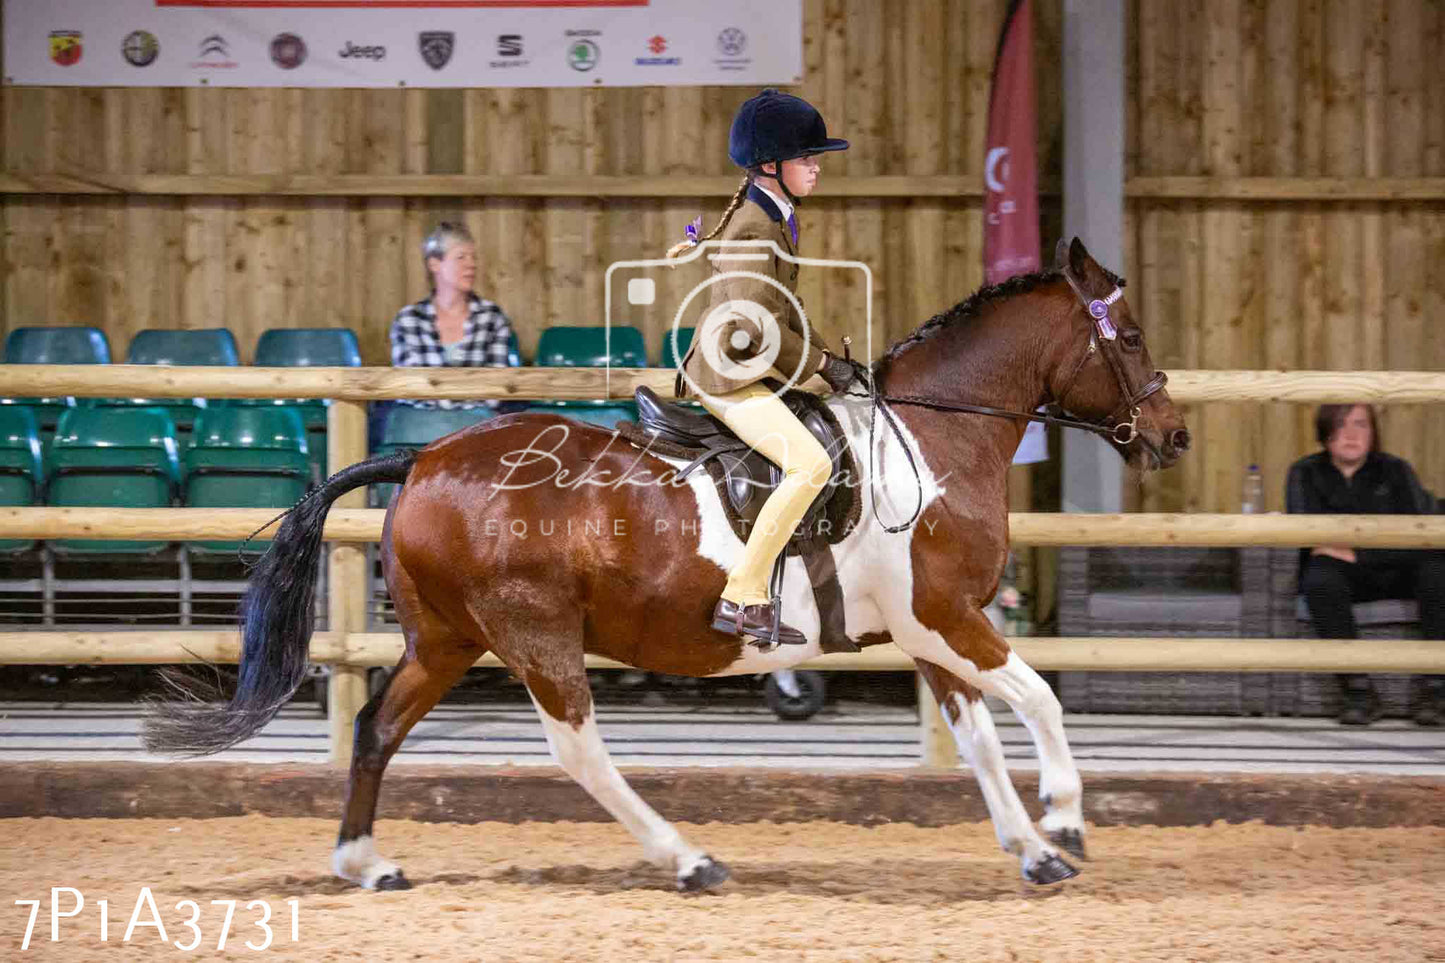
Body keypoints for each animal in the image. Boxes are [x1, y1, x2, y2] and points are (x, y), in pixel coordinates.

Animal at [143, 234, 1184, 890]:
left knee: (375, 729)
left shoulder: (935, 632)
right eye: (1130, 337)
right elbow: (1041, 701)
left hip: (445, 639)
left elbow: (978, 740)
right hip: (534, 633)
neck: (930, 441)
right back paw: (687, 858)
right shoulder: (947, 618)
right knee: (577, 749)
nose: (1170, 436)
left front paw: (1034, 850)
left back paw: (366, 862)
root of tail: (426, 458)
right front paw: (1065, 818)